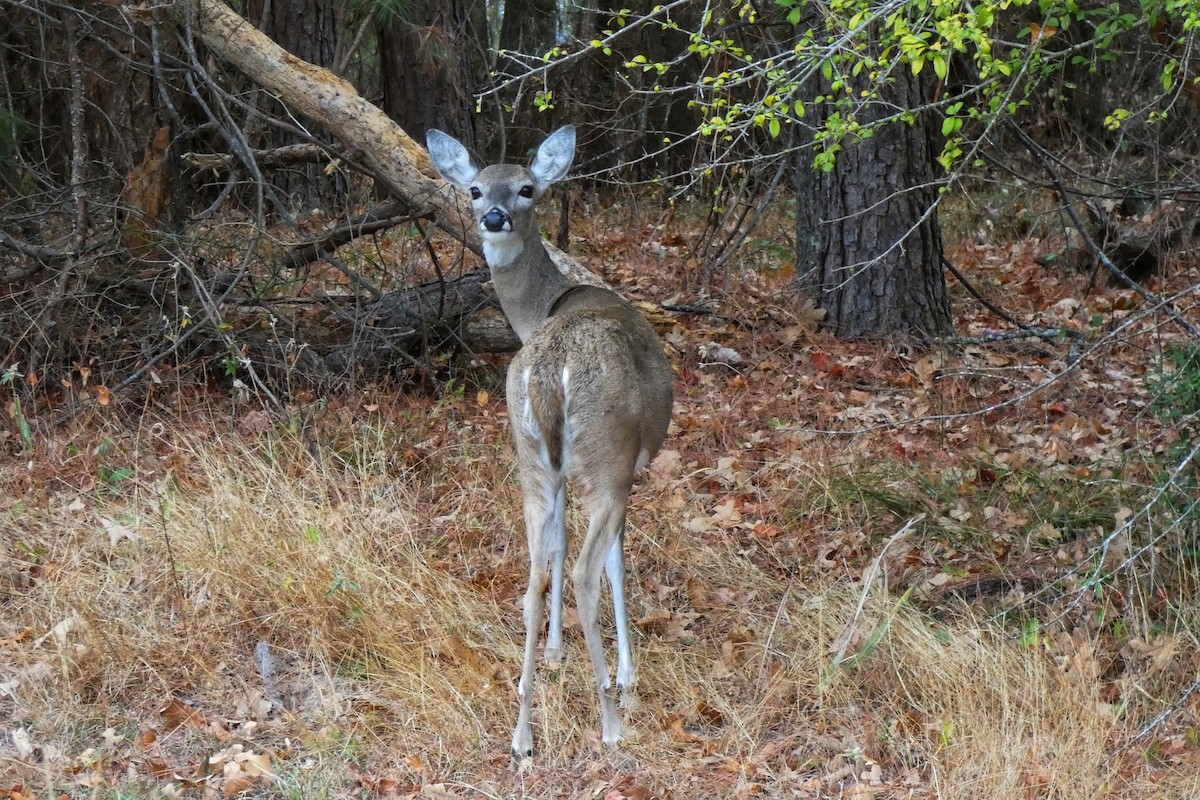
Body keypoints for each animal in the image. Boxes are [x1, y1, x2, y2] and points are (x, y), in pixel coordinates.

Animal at [426, 125, 673, 757]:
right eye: (474, 188)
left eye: (525, 188)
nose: (492, 216)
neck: (545, 308)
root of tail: (546, 370)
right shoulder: (626, 468)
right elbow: (615, 563)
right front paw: (626, 674)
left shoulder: (558, 468)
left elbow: (554, 552)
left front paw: (557, 654)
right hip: (607, 455)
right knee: (588, 570)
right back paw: (610, 722)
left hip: (529, 457)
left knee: (533, 575)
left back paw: (522, 733)